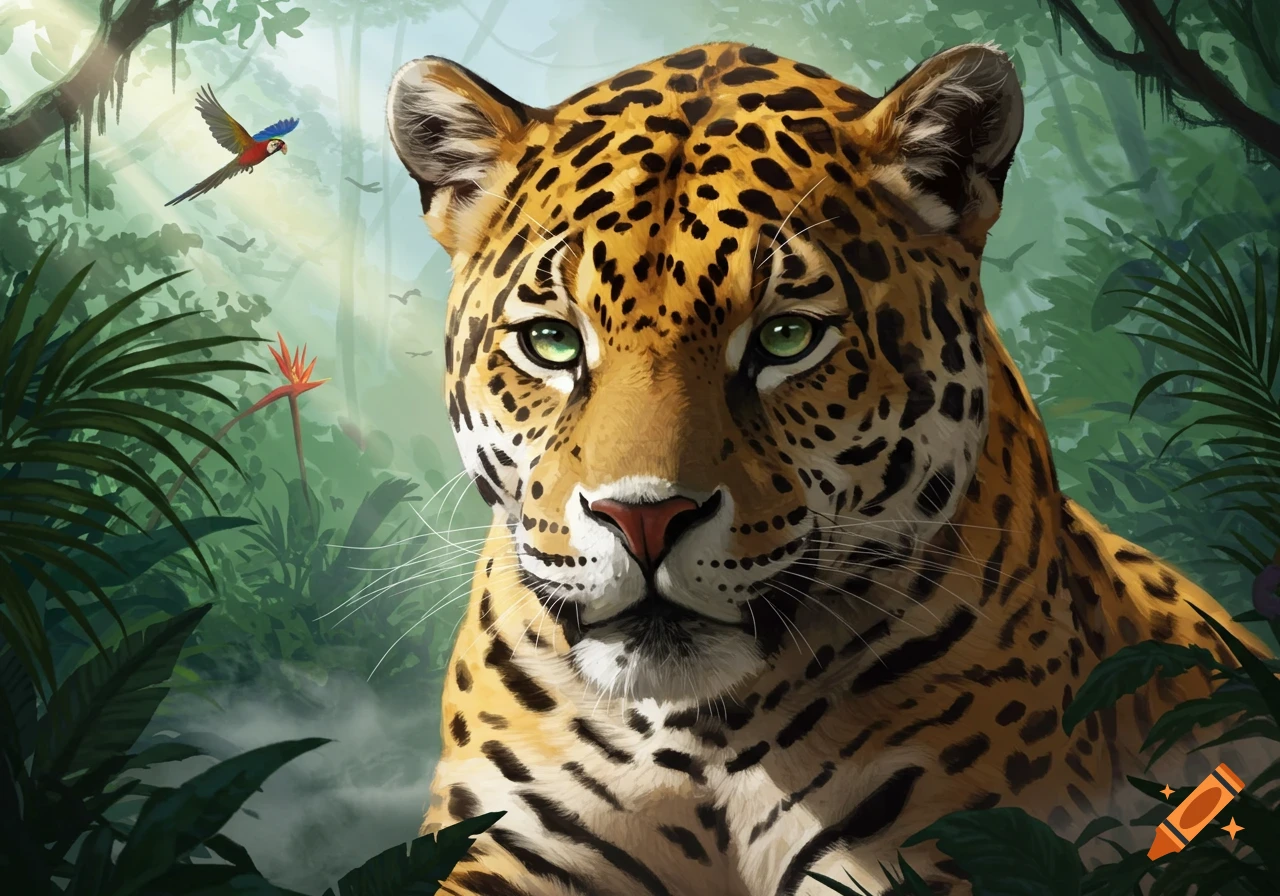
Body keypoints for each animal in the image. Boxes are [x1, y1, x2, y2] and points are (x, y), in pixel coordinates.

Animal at [385, 40, 1272, 896]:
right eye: (552, 342)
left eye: (786, 339)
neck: (694, 734)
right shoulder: (499, 841)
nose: (644, 518)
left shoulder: (964, 847)